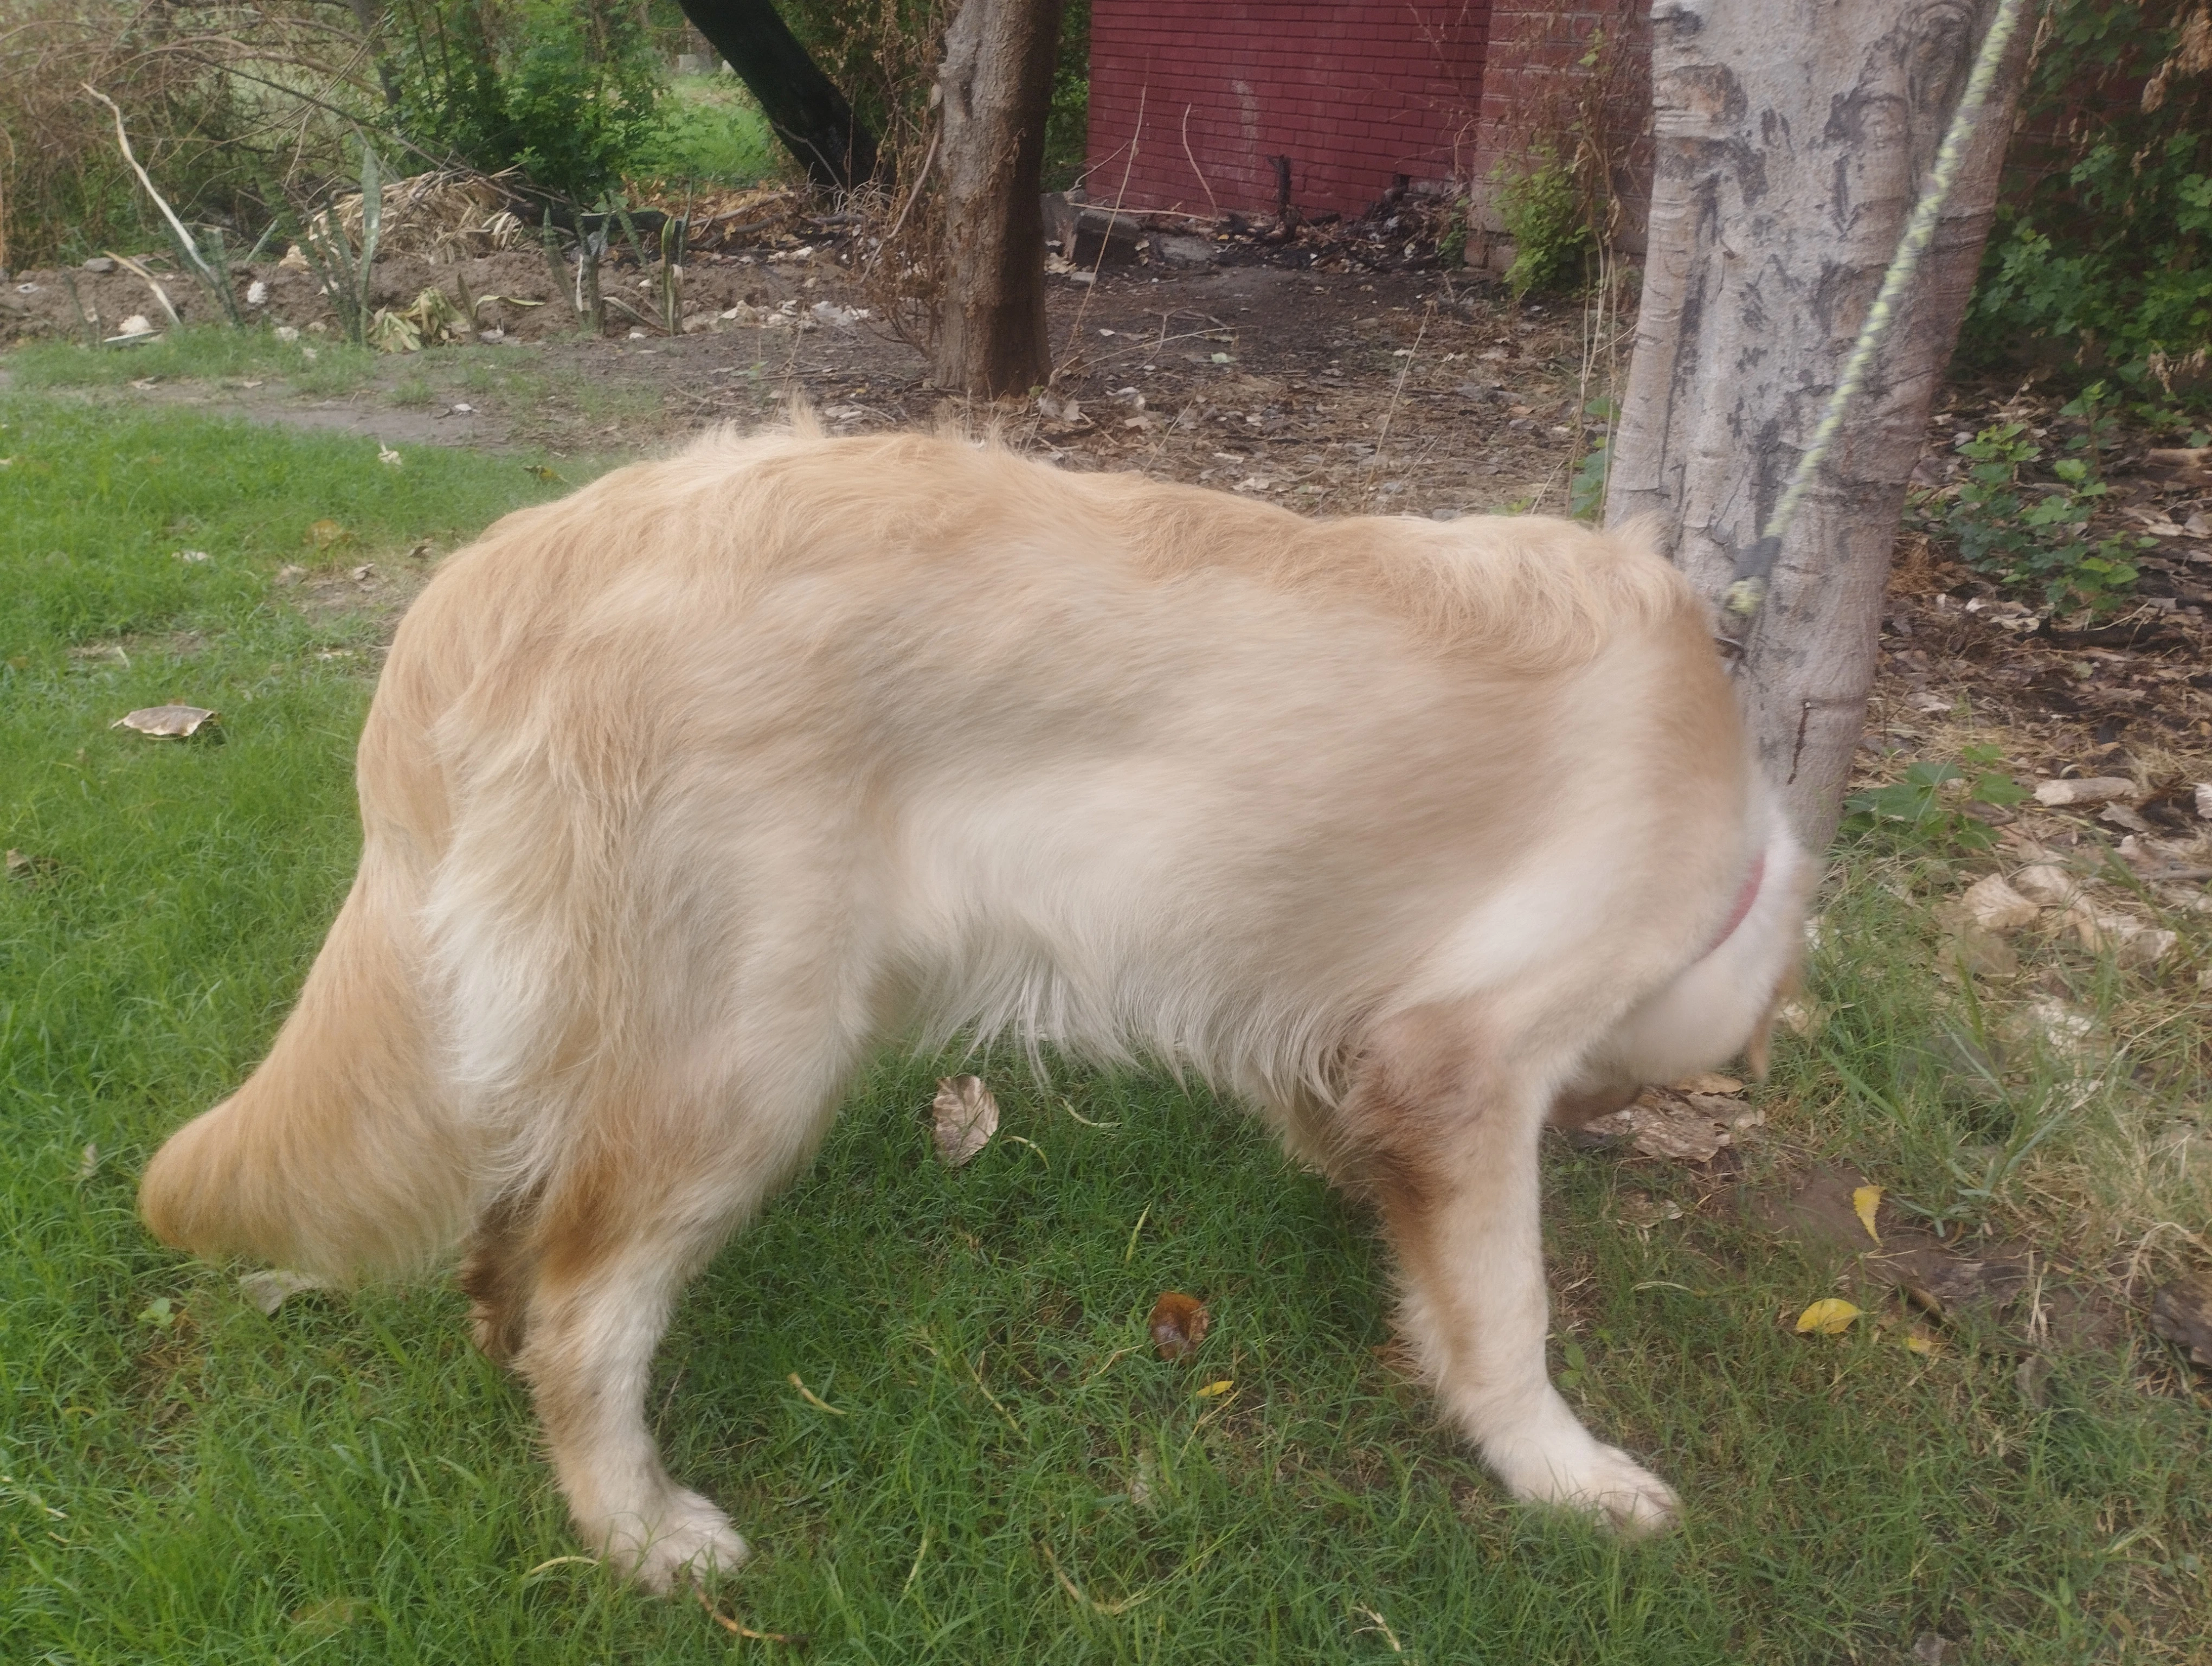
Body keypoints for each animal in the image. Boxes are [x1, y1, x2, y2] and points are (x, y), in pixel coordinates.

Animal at [138, 415, 1805, 1584]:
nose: (1600, 1115)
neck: (1718, 793)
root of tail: (513, 566)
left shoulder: (1335, 1016)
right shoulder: (1463, 1054)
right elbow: (1506, 1304)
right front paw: (1560, 1472)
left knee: (522, 1223)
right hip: (751, 1058)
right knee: (586, 1312)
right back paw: (637, 1527)